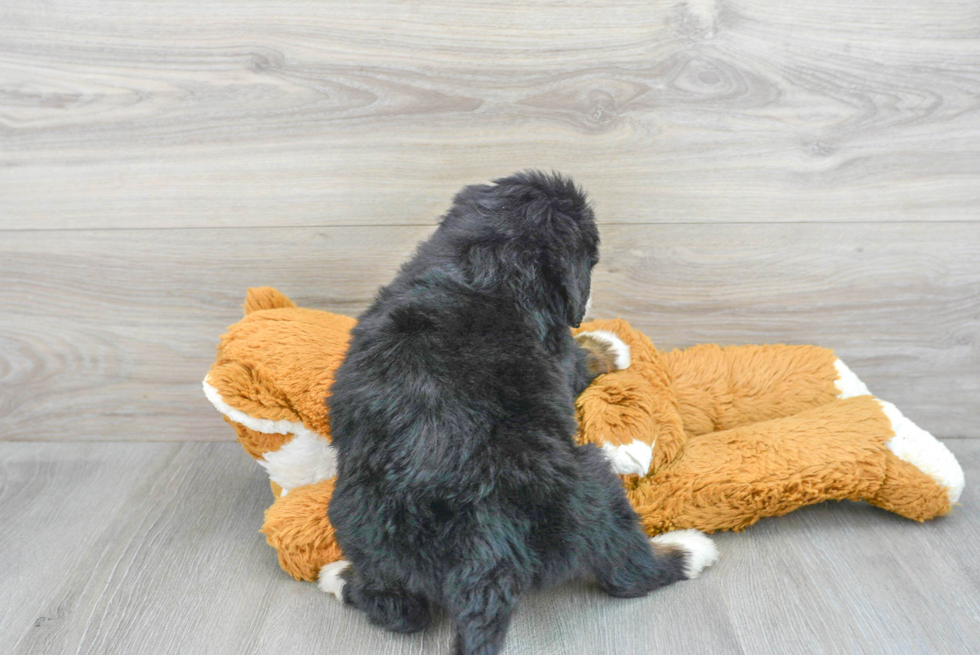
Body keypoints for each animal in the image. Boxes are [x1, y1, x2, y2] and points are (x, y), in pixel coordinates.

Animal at [326, 173, 716, 655]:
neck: (482, 262)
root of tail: (483, 541)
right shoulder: (560, 355)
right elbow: (580, 358)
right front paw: (610, 345)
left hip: (362, 527)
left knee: (398, 610)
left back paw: (339, 576)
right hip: (594, 487)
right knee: (628, 572)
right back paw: (689, 550)